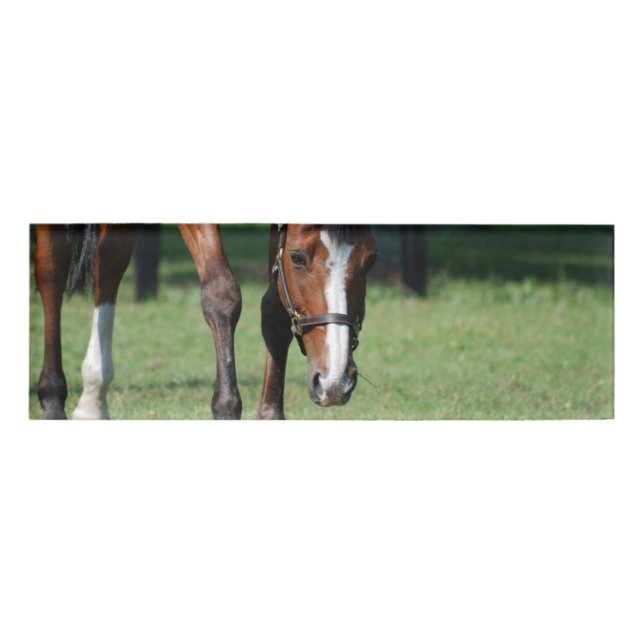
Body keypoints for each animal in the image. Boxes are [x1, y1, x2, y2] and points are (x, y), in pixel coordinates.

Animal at [34, 224, 377, 420]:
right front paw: (225, 407)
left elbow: (274, 309)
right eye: (297, 257)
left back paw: (93, 399)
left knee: (109, 262)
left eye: (371, 260)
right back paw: (54, 399)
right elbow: (221, 293)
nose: (334, 381)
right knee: (52, 269)